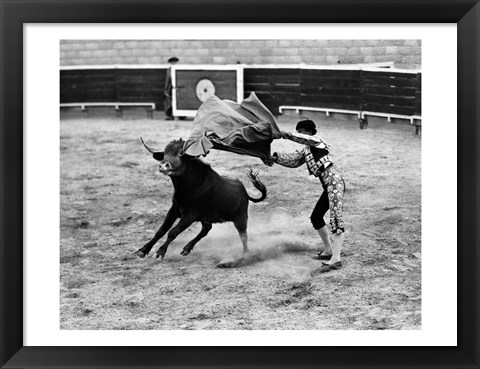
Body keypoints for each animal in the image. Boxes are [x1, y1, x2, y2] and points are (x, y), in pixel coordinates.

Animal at [135, 137, 268, 266]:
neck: (187, 186)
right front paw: (143, 250)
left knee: (243, 236)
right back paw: (187, 248)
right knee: (206, 229)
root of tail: (245, 192)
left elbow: (173, 232)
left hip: (241, 218)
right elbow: (161, 230)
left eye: (180, 153)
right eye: (164, 153)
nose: (163, 166)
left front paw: (159, 253)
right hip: (206, 217)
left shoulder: (190, 215)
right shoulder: (174, 210)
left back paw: (245, 256)